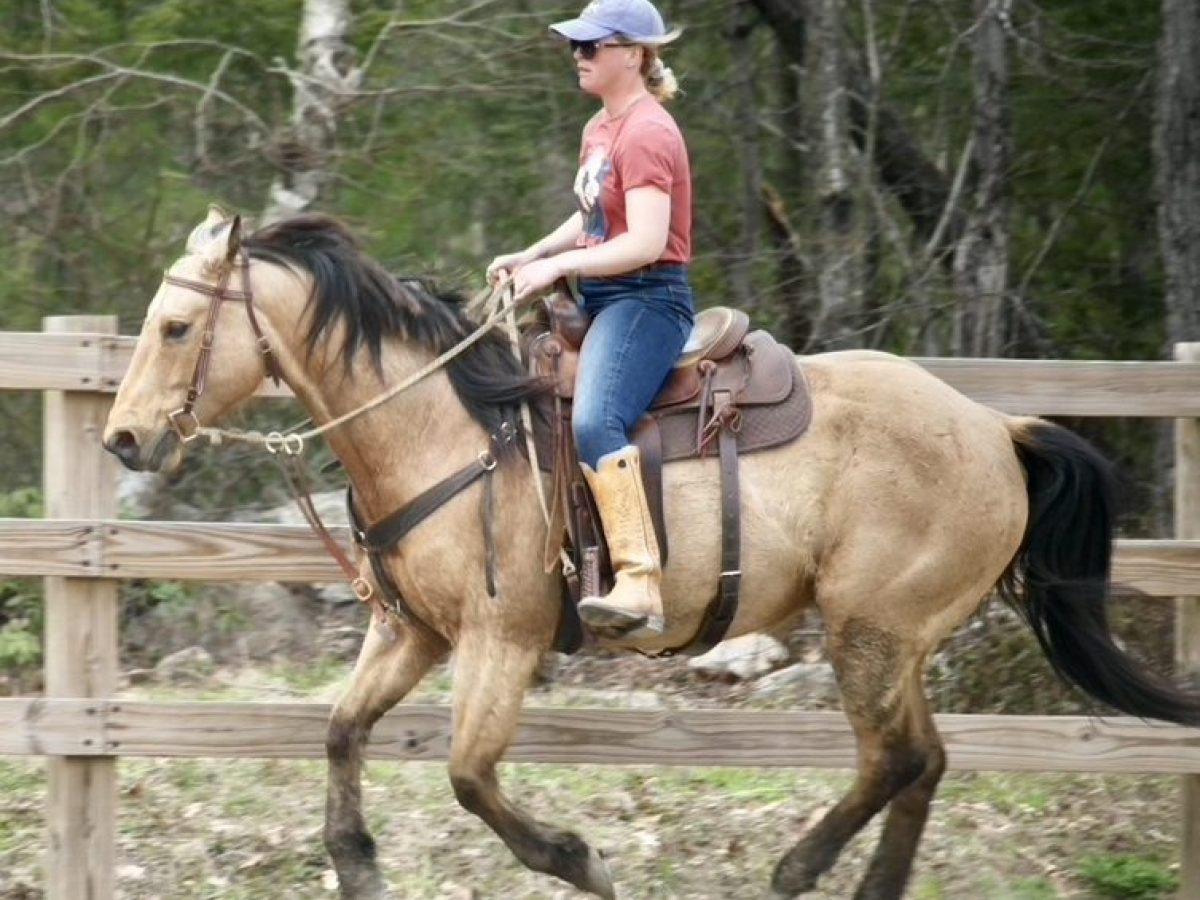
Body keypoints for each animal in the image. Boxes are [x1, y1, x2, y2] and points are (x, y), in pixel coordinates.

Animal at [102, 208, 1200, 900]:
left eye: (178, 325)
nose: (122, 439)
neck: (449, 429)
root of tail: (997, 427)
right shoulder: (412, 633)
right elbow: (339, 732)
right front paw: (360, 865)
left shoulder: (502, 641)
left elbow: (467, 775)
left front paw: (579, 859)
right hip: (893, 641)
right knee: (922, 762)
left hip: (873, 633)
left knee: (895, 759)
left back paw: (796, 870)